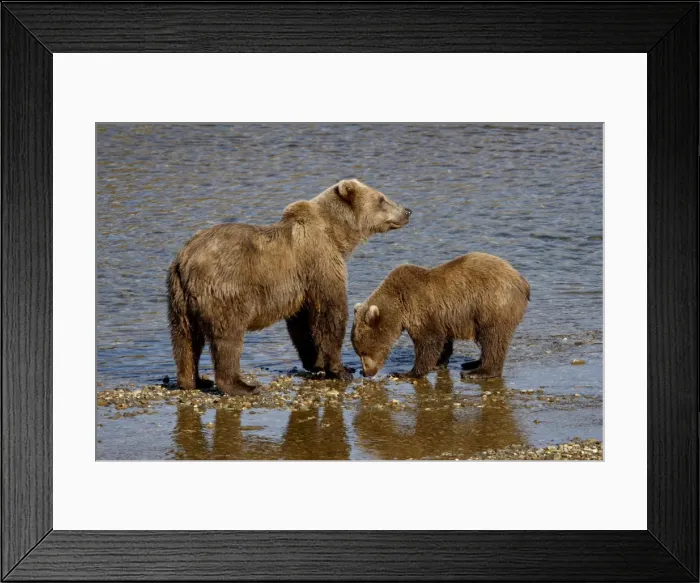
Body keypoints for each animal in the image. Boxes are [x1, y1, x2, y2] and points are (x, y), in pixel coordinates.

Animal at [167, 179, 411, 396]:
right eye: (382, 199)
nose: (407, 210)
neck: (336, 234)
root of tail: (185, 260)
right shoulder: (320, 263)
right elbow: (331, 313)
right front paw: (341, 369)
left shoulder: (301, 284)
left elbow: (302, 324)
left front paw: (316, 362)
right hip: (225, 290)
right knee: (228, 337)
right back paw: (243, 386)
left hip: (179, 297)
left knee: (185, 338)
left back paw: (194, 381)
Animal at [351, 252, 530, 379]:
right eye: (358, 351)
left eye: (363, 352)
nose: (366, 372)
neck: (399, 304)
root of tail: (522, 281)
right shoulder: (443, 316)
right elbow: (443, 341)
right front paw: (438, 363)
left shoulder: (420, 308)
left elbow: (429, 341)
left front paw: (406, 373)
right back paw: (471, 363)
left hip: (492, 305)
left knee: (493, 338)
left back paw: (478, 372)